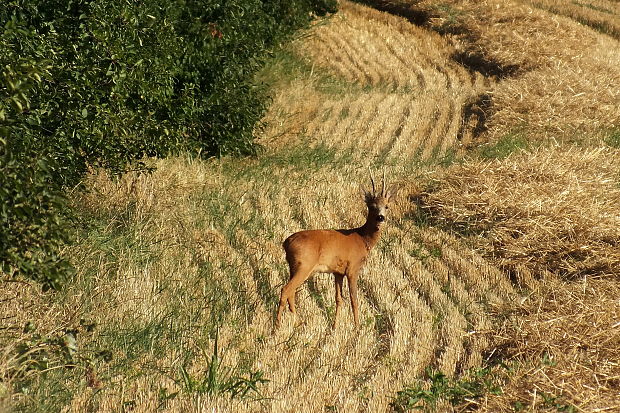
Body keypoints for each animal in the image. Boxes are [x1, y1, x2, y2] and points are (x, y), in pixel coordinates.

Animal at [276, 171, 398, 328]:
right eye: (372, 206)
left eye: (387, 206)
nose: (380, 217)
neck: (363, 239)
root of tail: (286, 242)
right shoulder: (353, 268)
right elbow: (354, 300)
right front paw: (357, 328)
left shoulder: (338, 272)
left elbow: (338, 299)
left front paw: (335, 326)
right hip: (304, 265)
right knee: (286, 289)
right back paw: (277, 326)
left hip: (293, 267)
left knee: (291, 292)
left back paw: (298, 323)